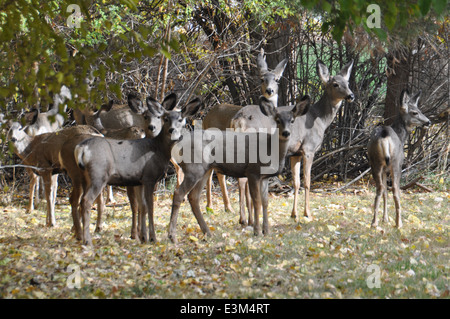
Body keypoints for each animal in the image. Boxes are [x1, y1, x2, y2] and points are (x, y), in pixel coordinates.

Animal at [74, 94, 201, 246]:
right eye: (166, 118)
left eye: (181, 119)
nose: (172, 131)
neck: (158, 149)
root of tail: (81, 149)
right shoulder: (148, 178)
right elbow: (150, 207)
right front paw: (152, 237)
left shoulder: (139, 181)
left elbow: (143, 206)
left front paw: (143, 236)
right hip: (98, 176)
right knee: (86, 200)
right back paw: (87, 240)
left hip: (86, 177)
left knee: (81, 201)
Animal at [167, 96, 312, 244]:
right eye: (277, 120)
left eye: (292, 120)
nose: (286, 133)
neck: (270, 149)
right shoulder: (252, 172)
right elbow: (256, 201)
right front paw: (257, 231)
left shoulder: (265, 177)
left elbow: (265, 202)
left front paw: (267, 231)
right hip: (193, 169)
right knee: (179, 193)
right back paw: (173, 236)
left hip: (204, 170)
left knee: (193, 197)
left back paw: (207, 232)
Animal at [202, 49, 286, 215]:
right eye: (262, 79)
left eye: (277, 79)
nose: (270, 90)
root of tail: (238, 121)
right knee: (236, 177)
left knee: (213, 172)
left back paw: (213, 207)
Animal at [232, 58, 356, 221]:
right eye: (335, 84)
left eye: (347, 83)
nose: (351, 96)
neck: (319, 119)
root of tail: (238, 120)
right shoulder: (309, 148)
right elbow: (308, 182)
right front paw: (308, 213)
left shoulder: (295, 153)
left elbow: (296, 182)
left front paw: (294, 213)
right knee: (243, 179)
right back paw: (246, 218)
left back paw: (246, 217)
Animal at [368, 90, 430, 229]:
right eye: (415, 112)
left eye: (419, 109)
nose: (428, 122)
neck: (401, 137)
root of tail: (385, 134)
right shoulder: (397, 164)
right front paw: (390, 220)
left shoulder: (384, 169)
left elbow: (385, 191)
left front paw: (385, 219)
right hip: (395, 163)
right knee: (396, 190)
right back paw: (399, 223)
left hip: (375, 163)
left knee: (380, 189)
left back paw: (374, 223)